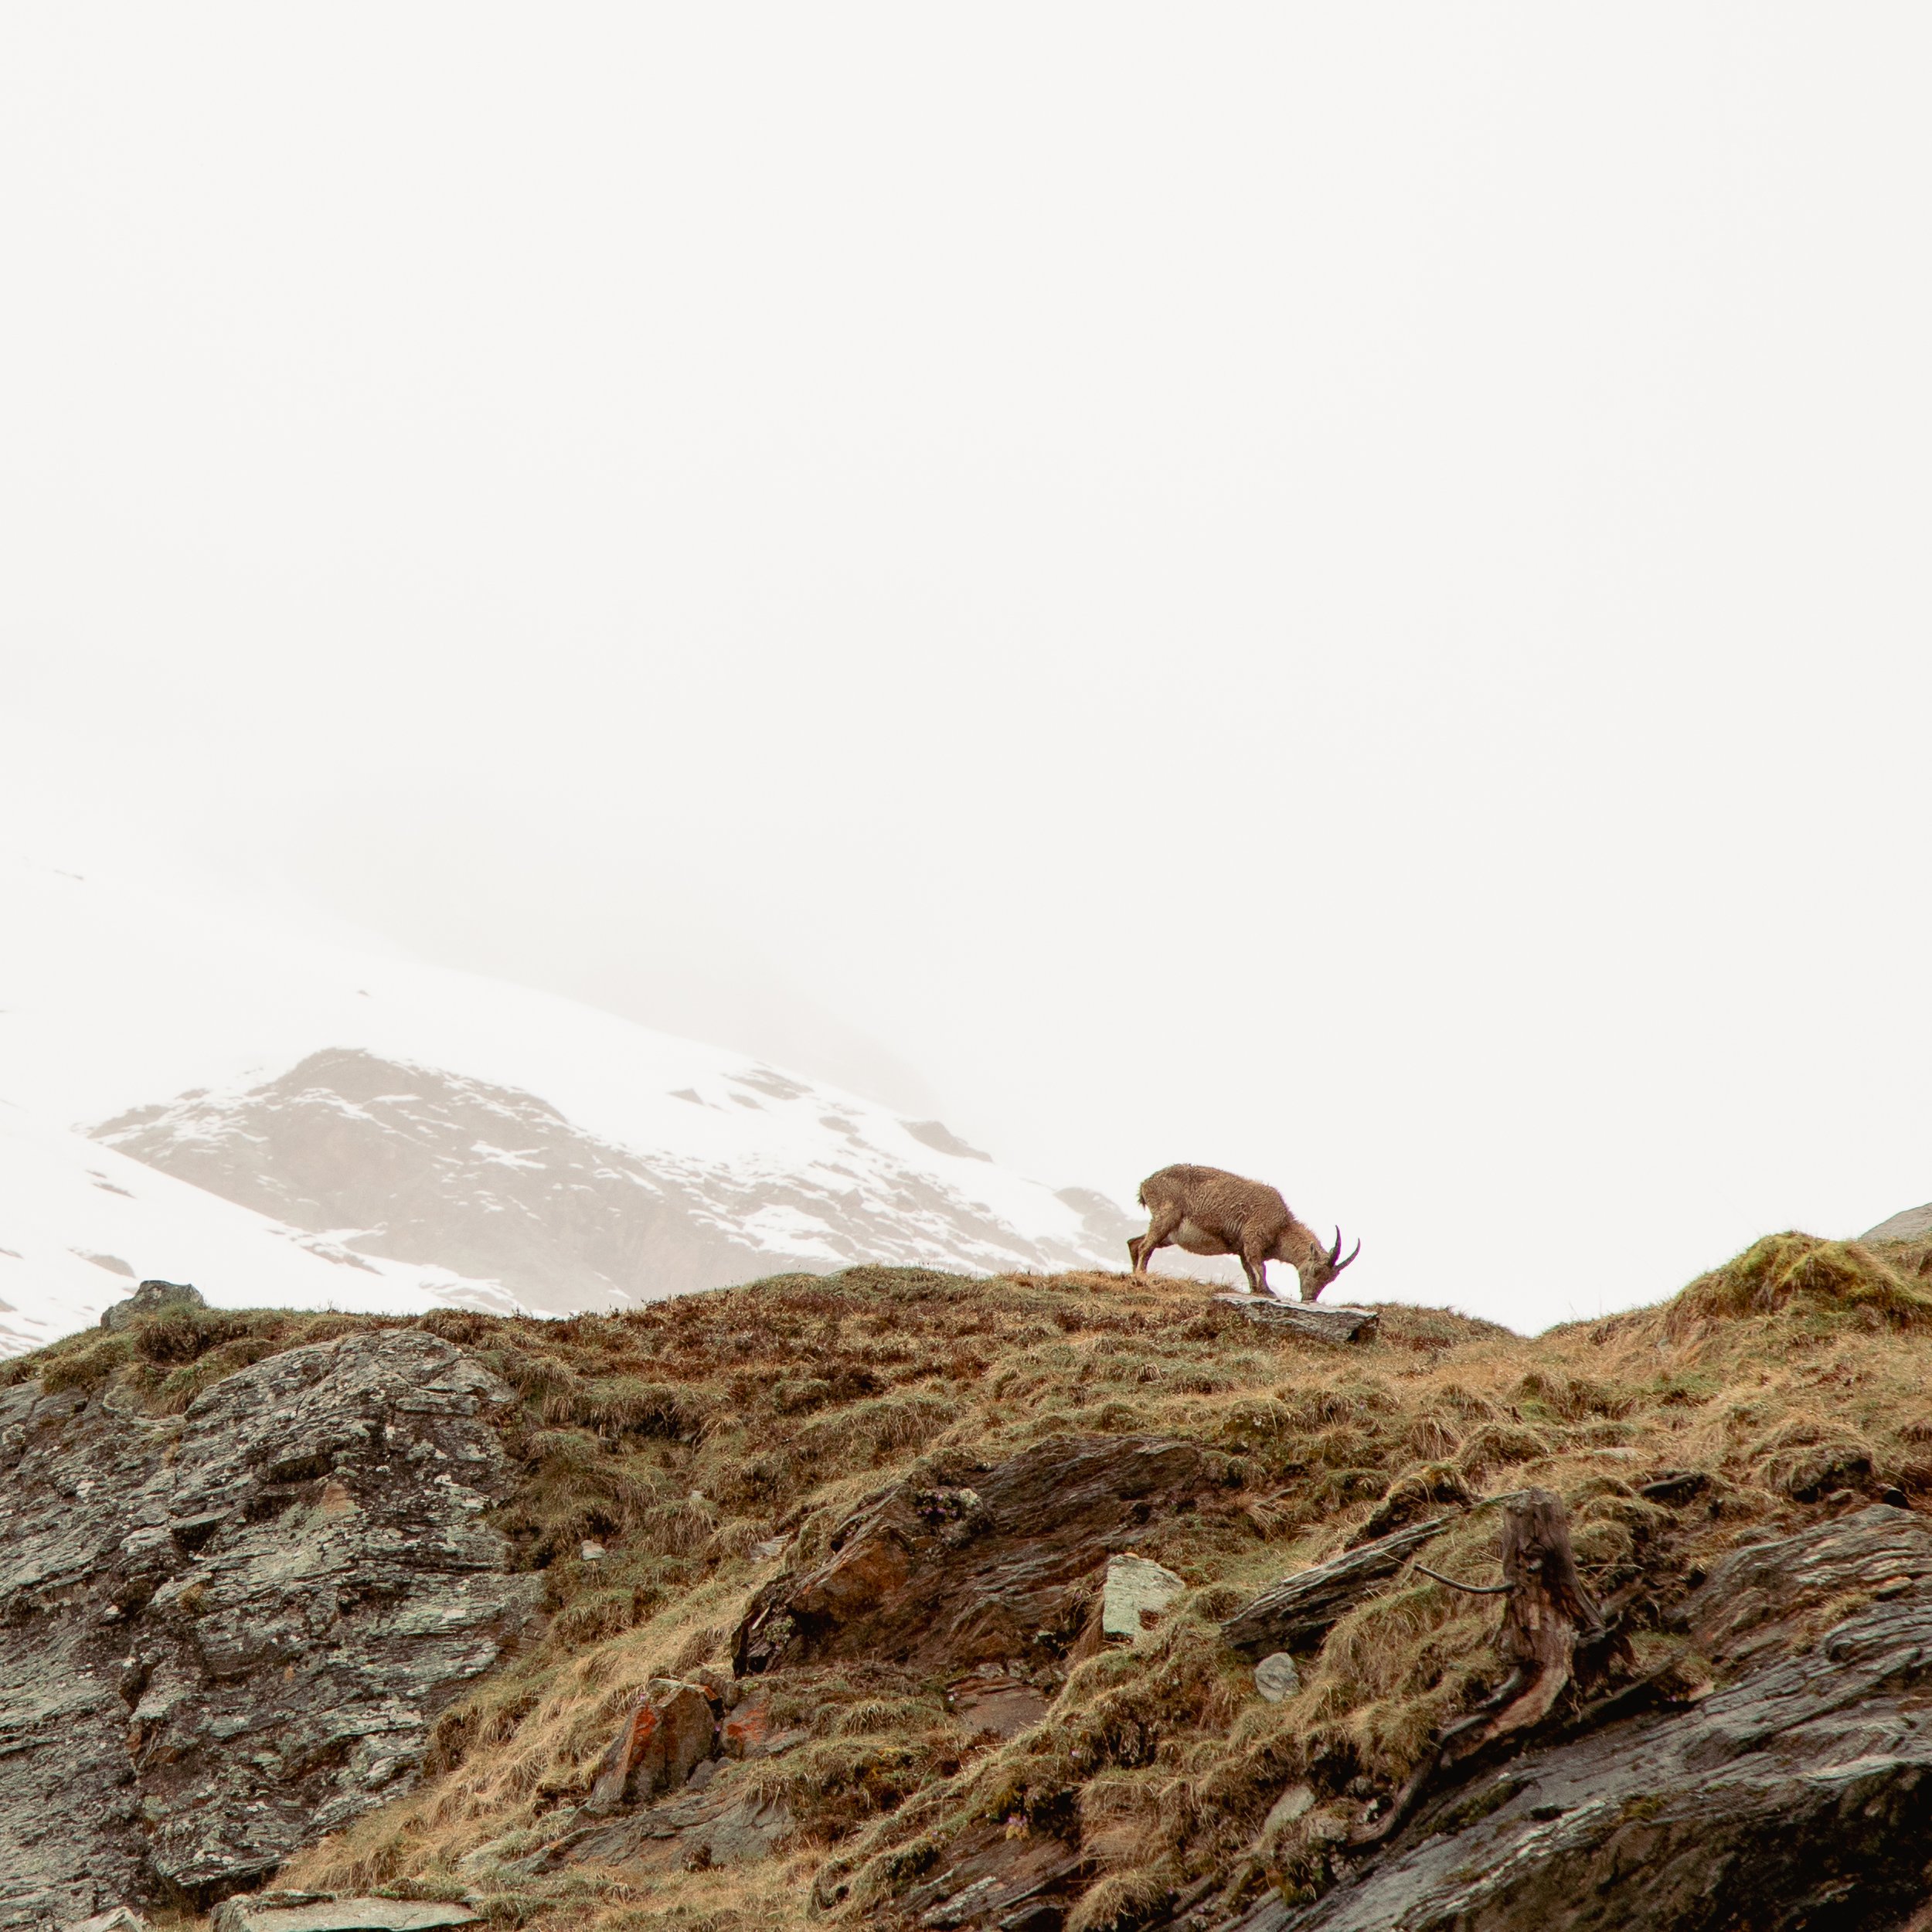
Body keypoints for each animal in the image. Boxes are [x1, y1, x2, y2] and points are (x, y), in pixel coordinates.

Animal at [1128, 1163, 1360, 1301]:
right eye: (1316, 1270)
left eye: (1331, 1279)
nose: (1309, 1299)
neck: (1281, 1226)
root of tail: (1146, 1184)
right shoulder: (1253, 1239)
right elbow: (1260, 1267)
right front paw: (1267, 1291)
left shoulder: (1241, 1248)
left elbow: (1249, 1270)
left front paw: (1256, 1291)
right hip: (1166, 1217)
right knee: (1145, 1246)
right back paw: (1143, 1276)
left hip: (1169, 1235)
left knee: (1134, 1243)